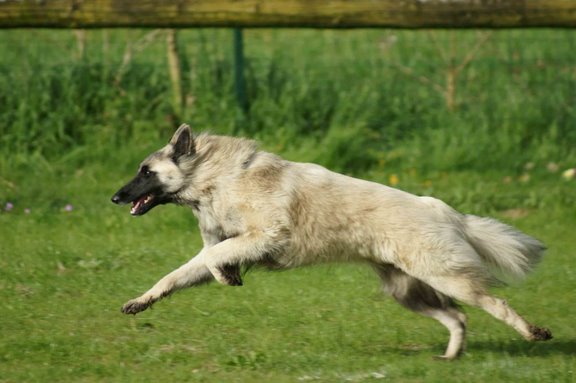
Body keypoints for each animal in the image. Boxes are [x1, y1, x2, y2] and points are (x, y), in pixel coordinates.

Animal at [110, 125, 552, 360]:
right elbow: (176, 275)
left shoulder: (265, 235)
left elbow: (218, 256)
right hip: (408, 291)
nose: (115, 197)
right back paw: (450, 357)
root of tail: (442, 209)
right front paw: (140, 301)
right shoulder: (220, 246)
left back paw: (533, 333)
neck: (216, 178)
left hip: (446, 278)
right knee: (458, 318)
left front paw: (227, 275)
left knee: (495, 303)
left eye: (146, 172)